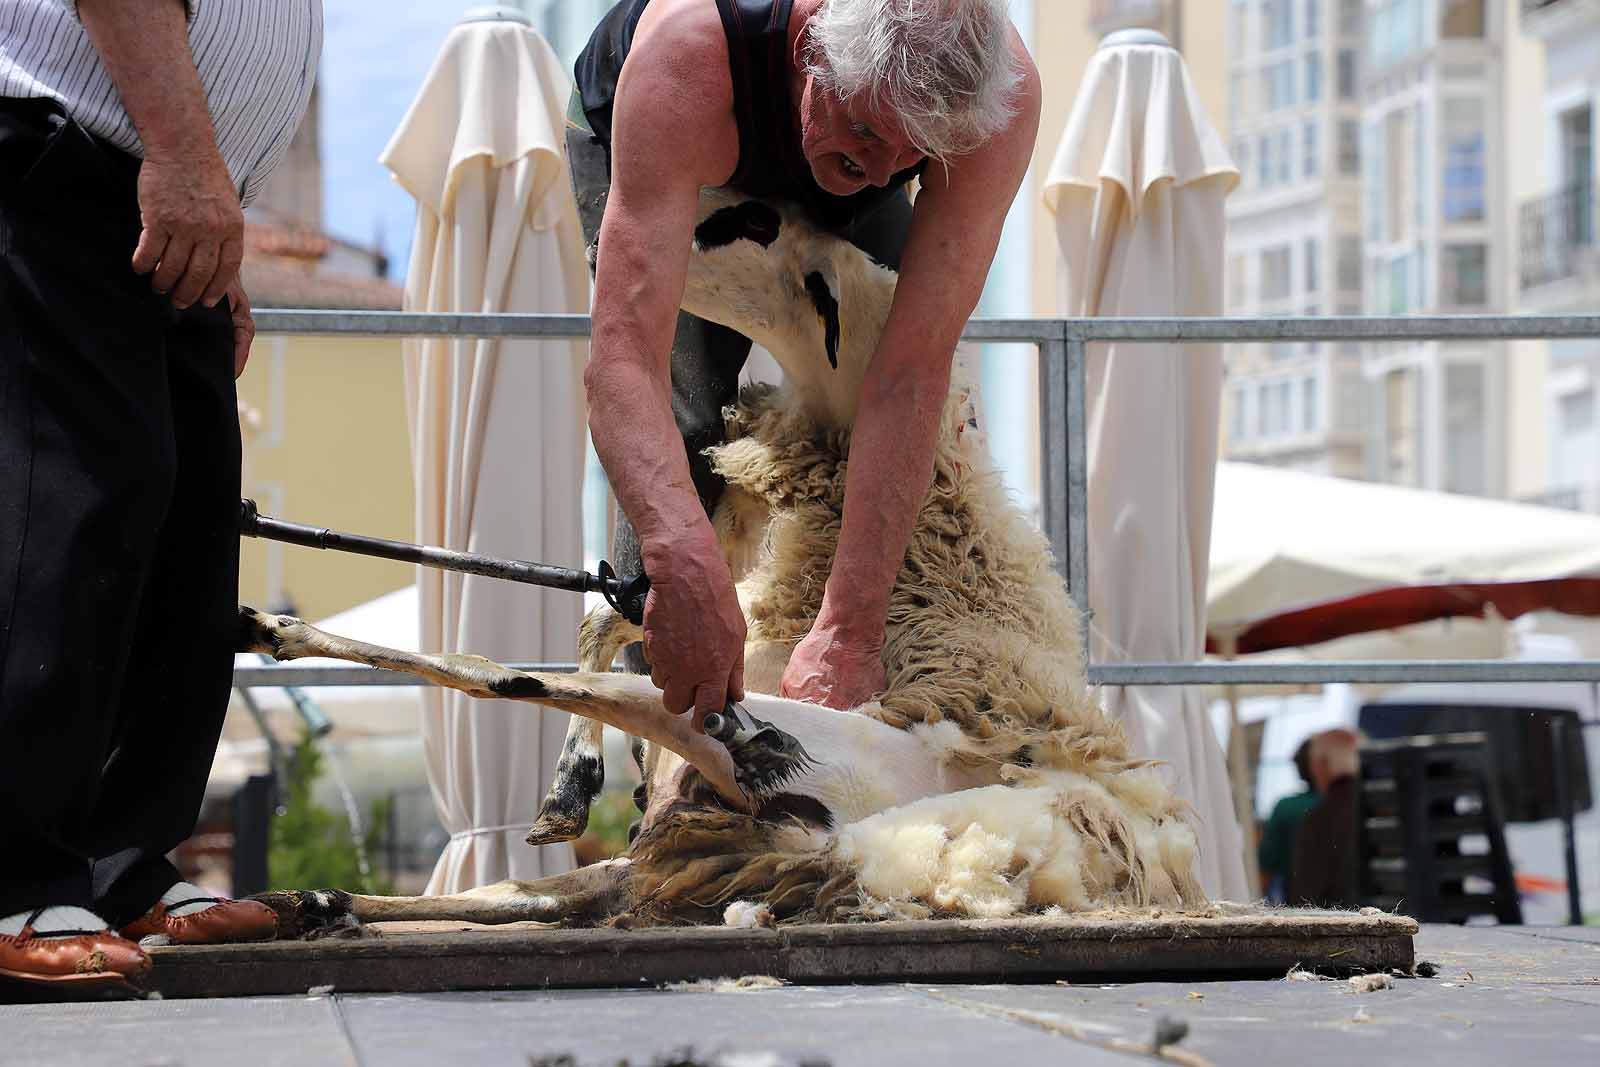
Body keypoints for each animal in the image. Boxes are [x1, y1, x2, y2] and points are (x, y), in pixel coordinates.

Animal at [246, 191, 1203, 934]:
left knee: (509, 678)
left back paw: (274, 630)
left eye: (820, 290)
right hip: (663, 842)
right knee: (525, 890)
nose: (624, 242)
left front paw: (572, 780)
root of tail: (840, 858)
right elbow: (609, 609)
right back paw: (313, 901)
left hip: (760, 741)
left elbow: (580, 640)